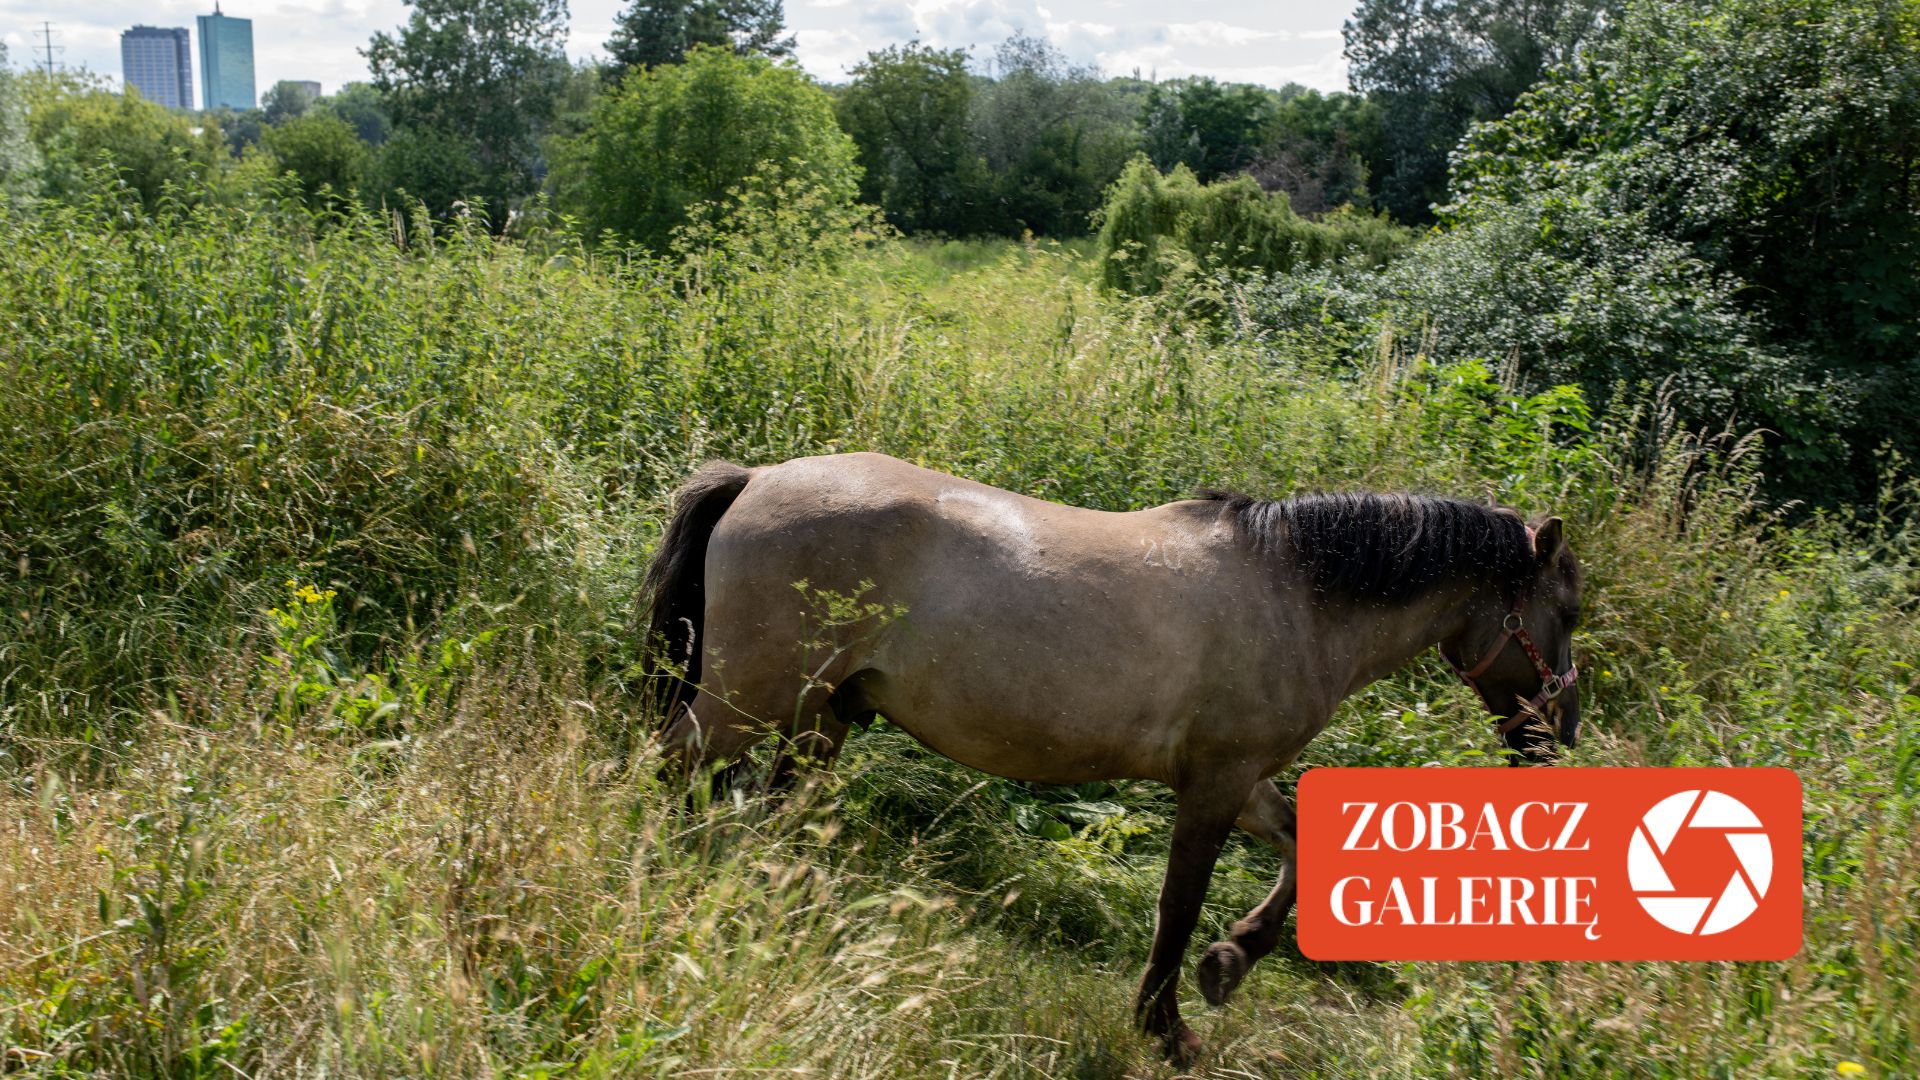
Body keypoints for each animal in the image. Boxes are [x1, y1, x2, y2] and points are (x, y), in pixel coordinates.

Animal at [637, 447, 1582, 1060]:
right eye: (1565, 614)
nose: (1559, 735)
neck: (1298, 597)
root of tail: (755, 480)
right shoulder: (1214, 783)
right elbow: (1177, 908)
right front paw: (1167, 1024)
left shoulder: (1240, 780)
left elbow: (1301, 850)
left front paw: (1230, 962)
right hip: (746, 702)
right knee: (668, 772)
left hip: (818, 714)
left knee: (773, 813)